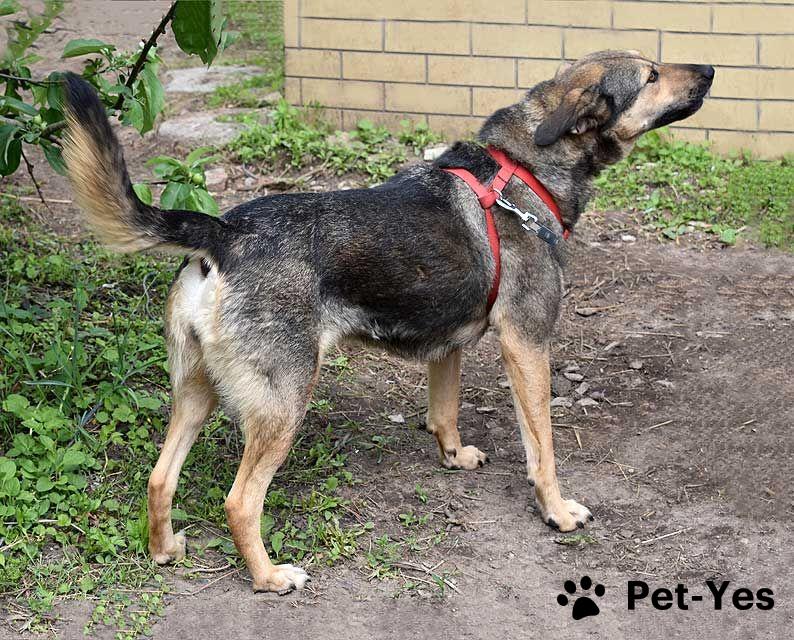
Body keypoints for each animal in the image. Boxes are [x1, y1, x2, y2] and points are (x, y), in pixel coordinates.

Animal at [61, 50, 713, 593]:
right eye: (651, 75)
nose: (709, 69)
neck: (524, 170)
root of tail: (223, 233)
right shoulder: (527, 345)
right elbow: (542, 448)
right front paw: (556, 510)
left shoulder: (448, 346)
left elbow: (444, 412)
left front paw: (453, 456)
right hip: (284, 405)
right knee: (240, 502)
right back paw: (269, 577)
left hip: (196, 393)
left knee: (159, 478)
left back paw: (165, 550)